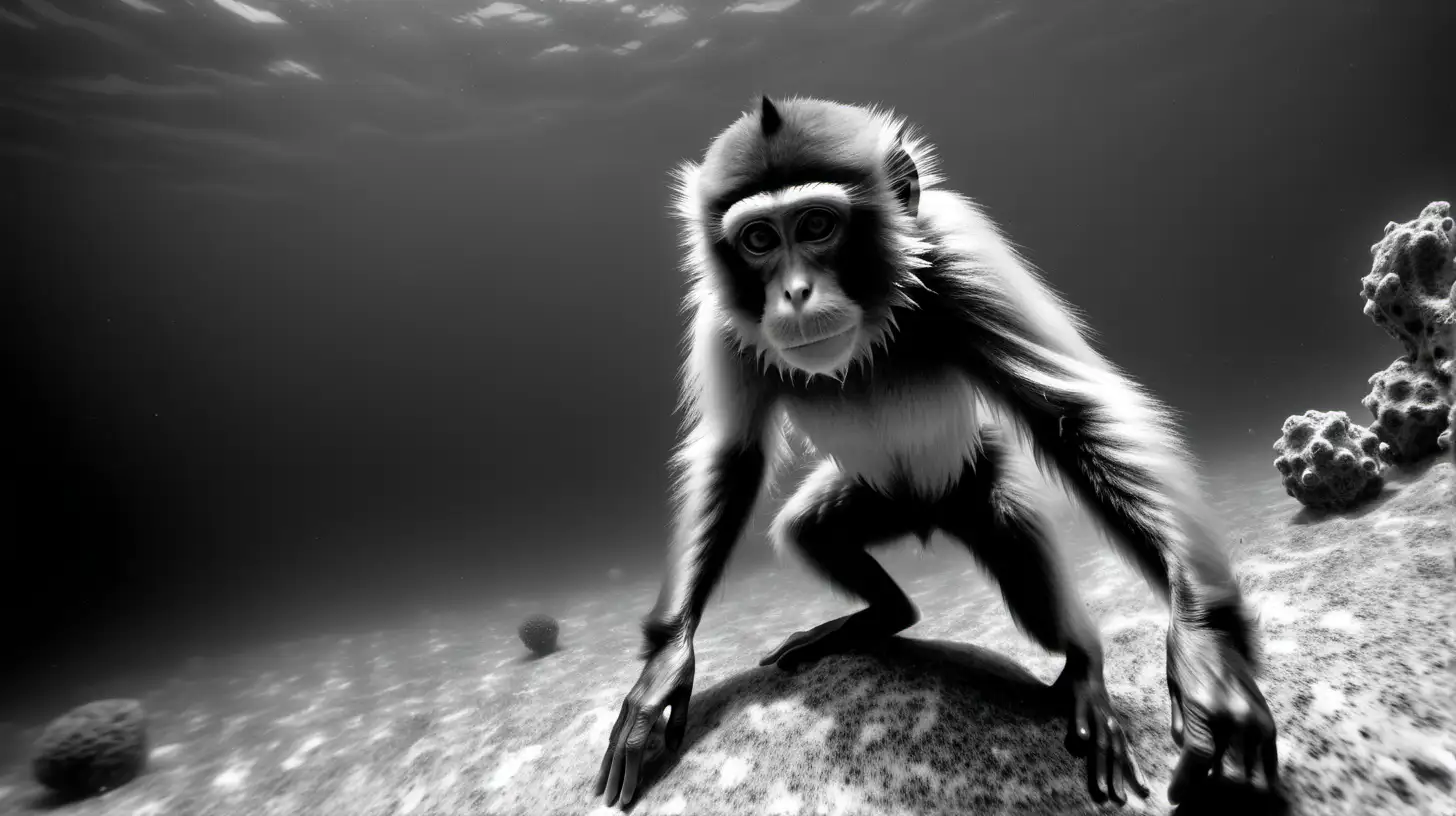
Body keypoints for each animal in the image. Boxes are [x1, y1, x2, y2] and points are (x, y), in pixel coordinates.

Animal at [591, 96, 1275, 810]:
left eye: (816, 225)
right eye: (758, 240)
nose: (794, 293)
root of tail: (924, 520)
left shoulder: (958, 253)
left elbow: (1071, 412)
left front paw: (1204, 646)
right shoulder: (723, 320)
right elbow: (733, 457)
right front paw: (666, 664)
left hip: (975, 477)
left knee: (1016, 545)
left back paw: (1083, 665)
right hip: (874, 500)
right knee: (809, 531)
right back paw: (886, 613)